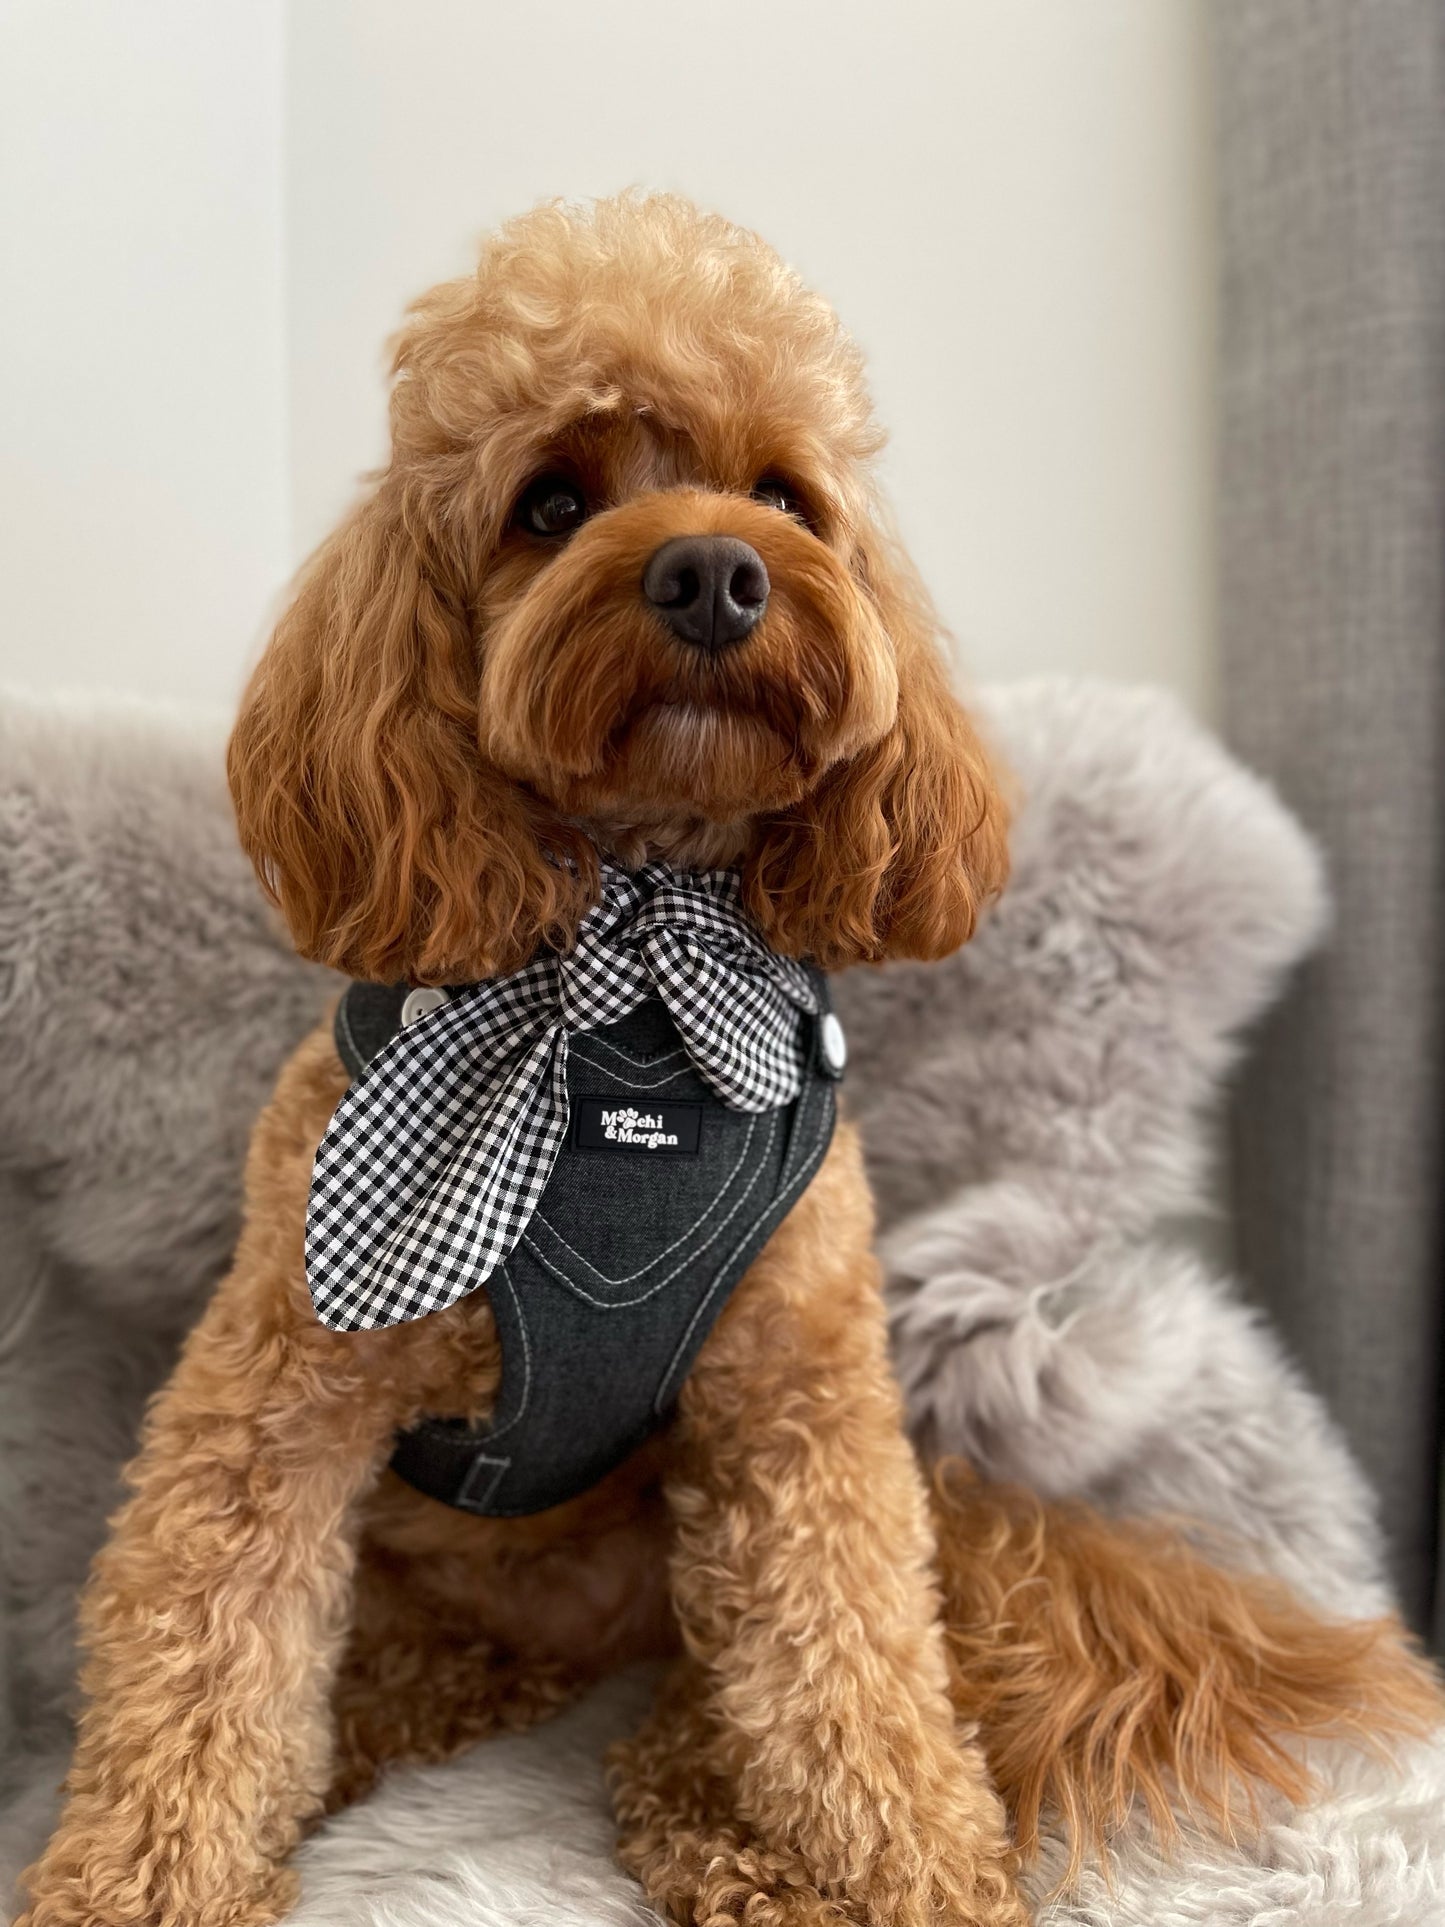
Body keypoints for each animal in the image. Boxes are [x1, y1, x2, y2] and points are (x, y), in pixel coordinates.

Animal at [19, 199, 1441, 1927]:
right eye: (549, 502)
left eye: (783, 492)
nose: (714, 569)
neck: (632, 981)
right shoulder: (275, 1389)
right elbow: (201, 1649)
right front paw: (134, 1880)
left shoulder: (802, 1406)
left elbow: (864, 1686)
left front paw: (927, 1877)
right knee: (389, 1687)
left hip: (700, 1558)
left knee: (726, 1709)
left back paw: (739, 1846)